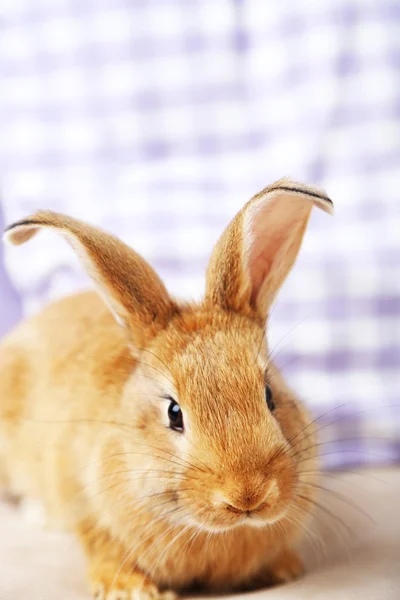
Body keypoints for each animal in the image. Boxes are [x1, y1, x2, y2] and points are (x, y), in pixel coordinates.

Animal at [0, 179, 332, 600]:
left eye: (270, 395)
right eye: (174, 413)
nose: (248, 496)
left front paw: (284, 569)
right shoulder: (85, 505)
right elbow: (101, 547)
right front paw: (130, 589)